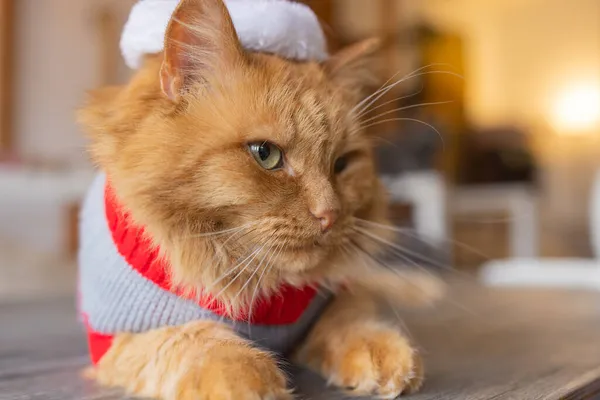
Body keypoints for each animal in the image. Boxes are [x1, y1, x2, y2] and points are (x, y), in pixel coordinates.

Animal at [77, 0, 440, 396]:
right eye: (265, 154)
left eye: (341, 164)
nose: (329, 214)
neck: (262, 289)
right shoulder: (118, 340)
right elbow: (192, 339)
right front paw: (244, 373)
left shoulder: (331, 298)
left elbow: (349, 319)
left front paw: (381, 351)